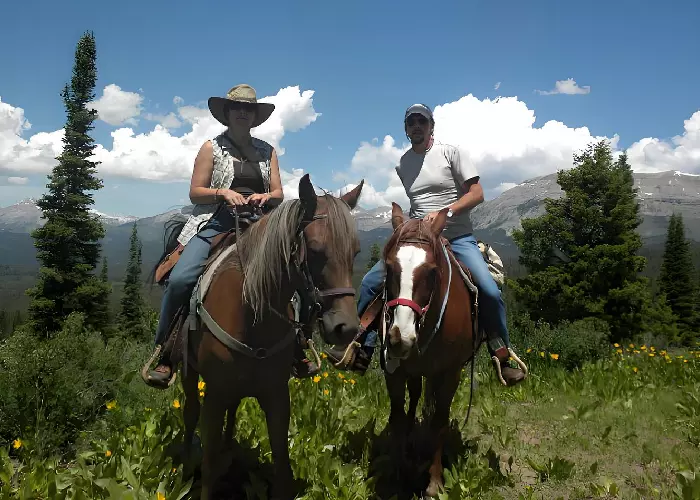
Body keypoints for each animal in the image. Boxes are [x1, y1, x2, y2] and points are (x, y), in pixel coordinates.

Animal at [178, 174, 364, 498]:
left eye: (355, 252)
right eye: (316, 250)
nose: (347, 328)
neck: (252, 317)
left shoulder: (277, 395)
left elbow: (282, 465)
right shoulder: (214, 394)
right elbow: (209, 465)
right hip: (187, 371)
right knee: (190, 412)